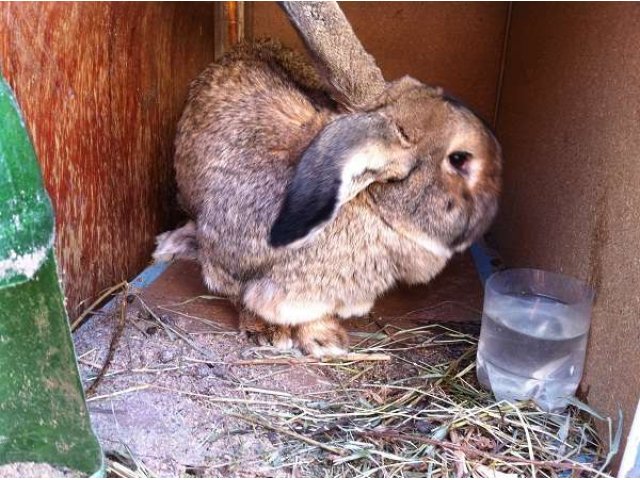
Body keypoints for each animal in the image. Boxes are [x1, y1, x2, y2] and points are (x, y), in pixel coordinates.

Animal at [155, 38, 500, 356]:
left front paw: (324, 340)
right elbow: (243, 298)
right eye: (459, 159)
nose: (492, 212)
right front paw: (271, 333)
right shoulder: (226, 265)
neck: (369, 204)